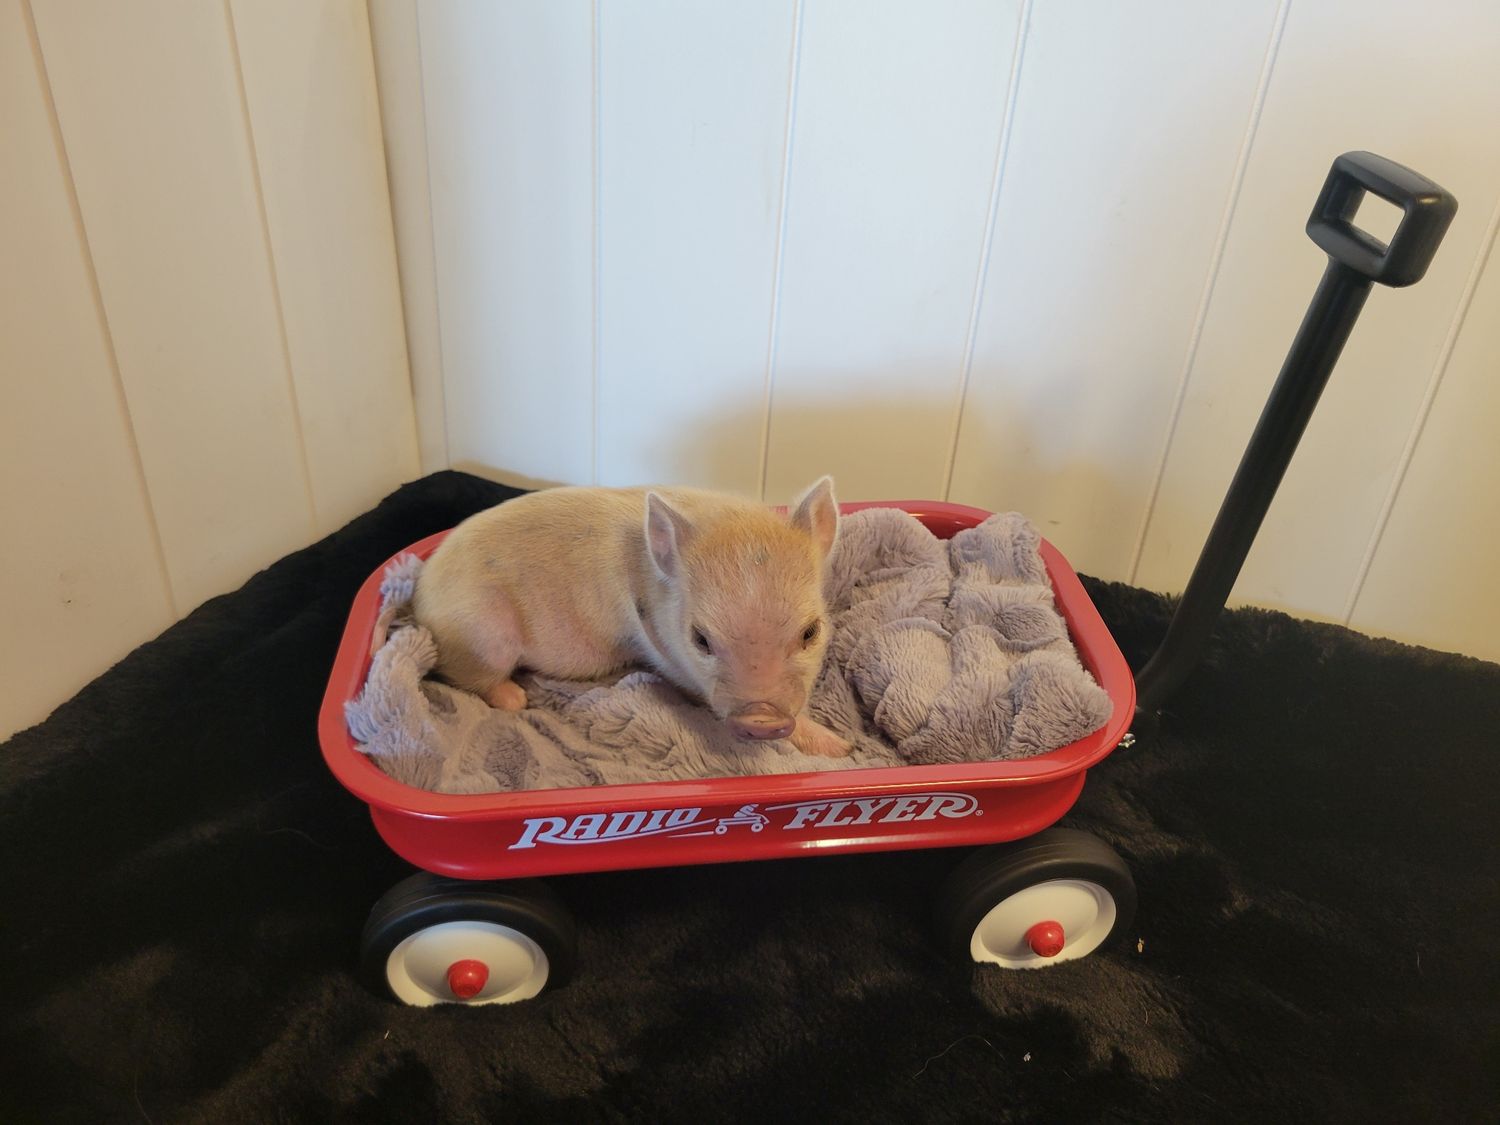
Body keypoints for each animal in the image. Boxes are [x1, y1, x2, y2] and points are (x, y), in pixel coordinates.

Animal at [410, 478, 851, 758]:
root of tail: (419, 601)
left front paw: (842, 746)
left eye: (811, 631)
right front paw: (843, 748)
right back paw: (517, 699)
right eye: (701, 639)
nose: (761, 717)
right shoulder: (666, 658)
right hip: (484, 636)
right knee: (475, 680)